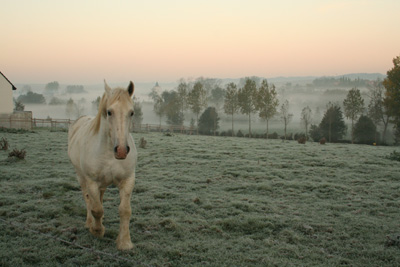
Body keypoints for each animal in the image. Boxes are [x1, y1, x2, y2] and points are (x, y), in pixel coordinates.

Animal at [68, 81, 137, 251]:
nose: (121, 150)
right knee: (88, 200)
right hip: (81, 177)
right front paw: (97, 230)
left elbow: (125, 210)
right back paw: (89, 223)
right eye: (109, 112)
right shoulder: (92, 181)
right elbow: (97, 209)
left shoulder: (128, 180)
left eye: (131, 112)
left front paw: (124, 242)